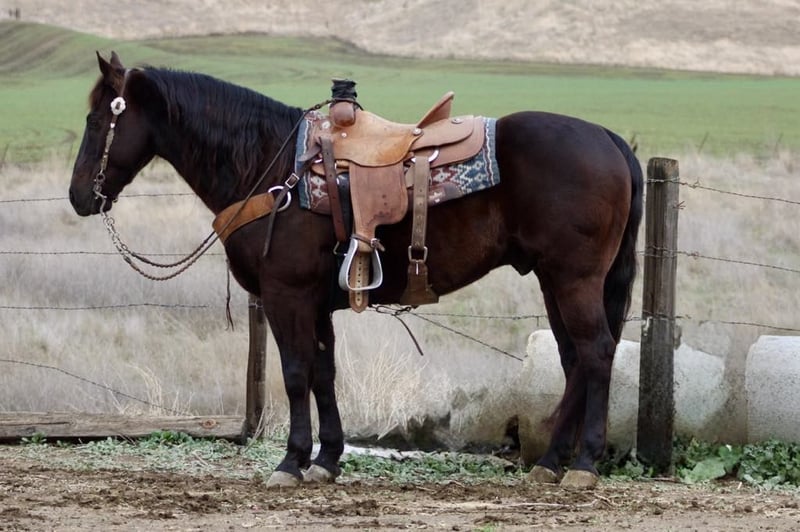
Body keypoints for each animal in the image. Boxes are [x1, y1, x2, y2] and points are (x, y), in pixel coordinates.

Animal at [69, 52, 643, 489]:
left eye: (98, 121)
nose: (79, 197)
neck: (275, 170)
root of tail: (610, 139)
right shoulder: (317, 303)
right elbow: (323, 374)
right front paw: (326, 460)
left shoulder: (286, 295)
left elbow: (295, 374)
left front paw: (290, 462)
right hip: (553, 279)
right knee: (573, 359)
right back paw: (549, 463)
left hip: (573, 278)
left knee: (596, 352)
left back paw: (583, 465)